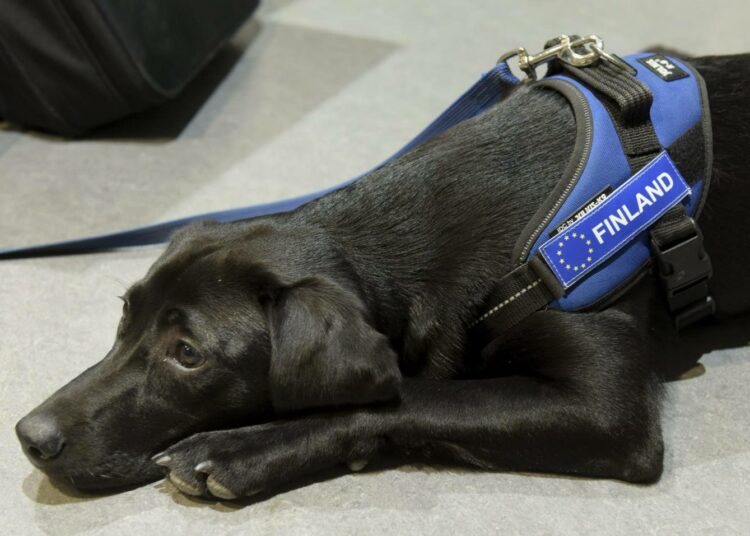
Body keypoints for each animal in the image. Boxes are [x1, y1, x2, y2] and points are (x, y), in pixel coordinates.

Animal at [13, 52, 750, 500]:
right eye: (124, 314)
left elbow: (411, 396)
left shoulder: (606, 411)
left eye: (188, 354)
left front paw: (244, 449)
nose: (29, 436)